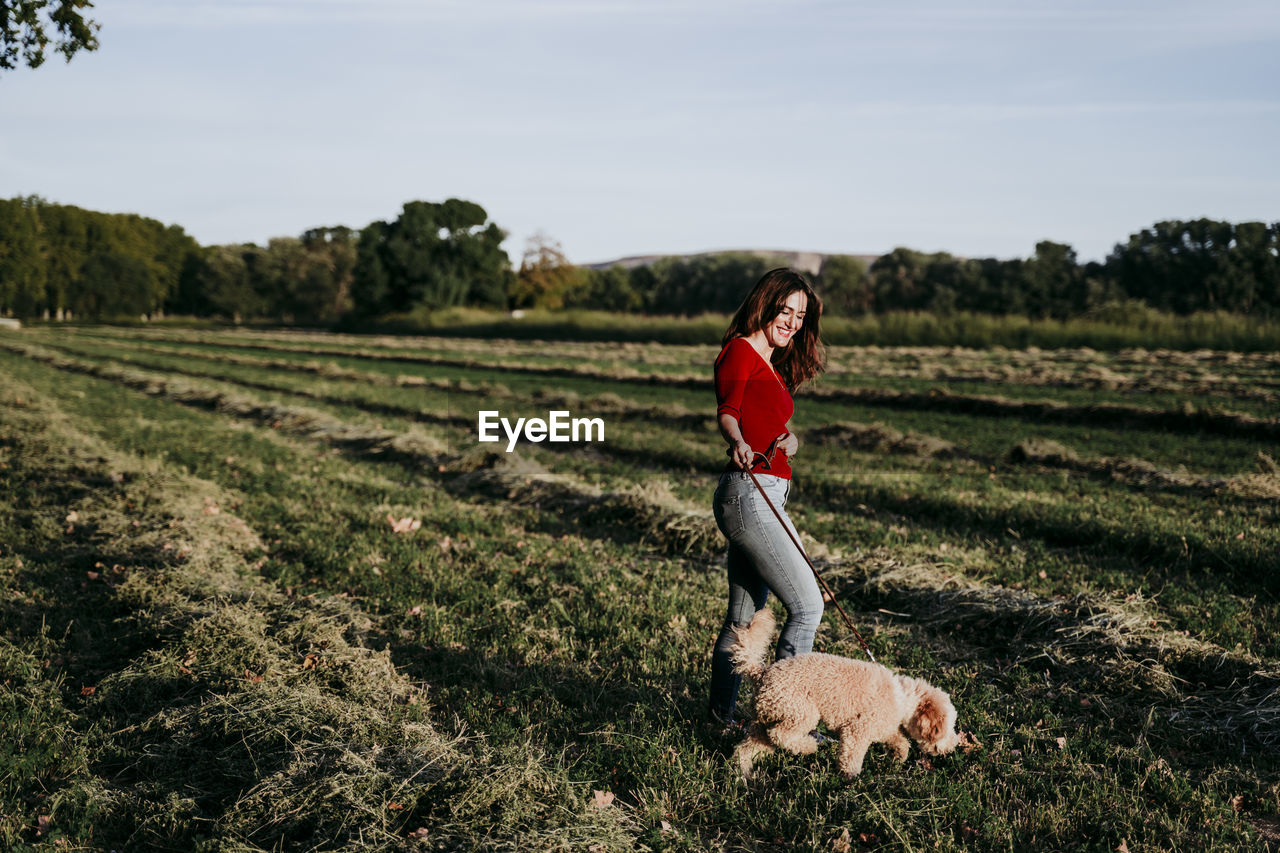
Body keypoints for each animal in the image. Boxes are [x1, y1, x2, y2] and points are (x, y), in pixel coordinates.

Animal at [732, 604, 962, 778]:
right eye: (945, 728)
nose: (954, 746)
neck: (901, 698)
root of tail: (761, 673)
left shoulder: (884, 727)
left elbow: (899, 739)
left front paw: (898, 756)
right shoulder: (857, 730)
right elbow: (852, 756)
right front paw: (850, 778)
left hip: (763, 721)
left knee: (748, 748)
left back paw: (742, 775)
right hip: (799, 711)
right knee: (780, 734)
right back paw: (808, 746)